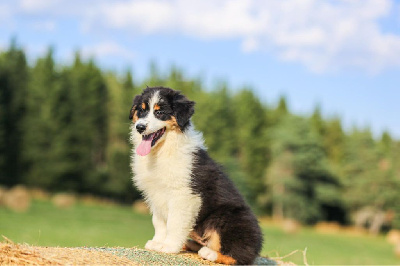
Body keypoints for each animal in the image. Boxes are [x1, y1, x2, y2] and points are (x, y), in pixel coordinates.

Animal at [130, 85, 264, 264]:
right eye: (141, 110)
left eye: (160, 112)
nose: (140, 127)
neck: (163, 149)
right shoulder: (155, 194)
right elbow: (159, 222)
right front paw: (157, 242)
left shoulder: (184, 195)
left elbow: (174, 222)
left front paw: (169, 246)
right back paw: (189, 244)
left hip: (226, 218)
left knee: (241, 255)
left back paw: (209, 253)